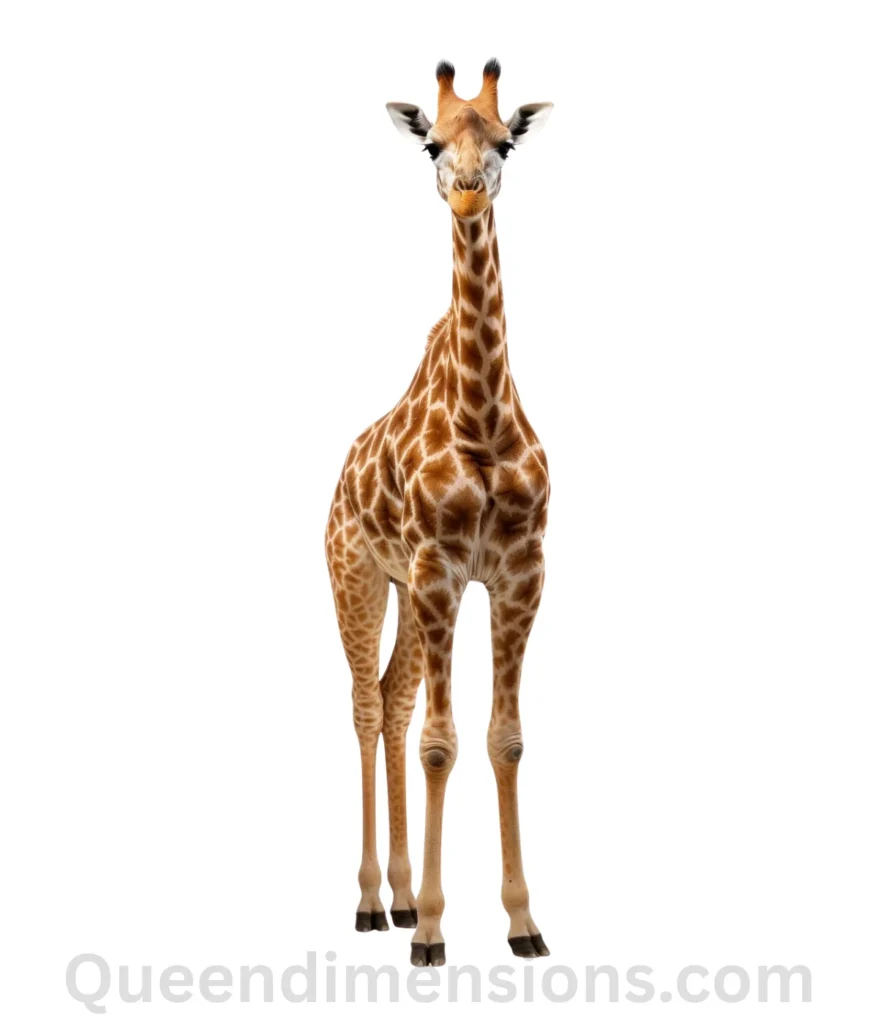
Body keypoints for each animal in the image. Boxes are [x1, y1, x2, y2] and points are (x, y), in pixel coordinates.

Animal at [325, 59, 553, 967]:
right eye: (430, 142)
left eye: (505, 143)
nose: (463, 193)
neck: (481, 419)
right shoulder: (439, 570)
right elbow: (439, 742)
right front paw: (430, 931)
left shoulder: (517, 573)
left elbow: (503, 738)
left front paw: (523, 923)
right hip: (358, 576)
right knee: (364, 704)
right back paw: (369, 903)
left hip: (411, 594)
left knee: (391, 699)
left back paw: (389, 897)